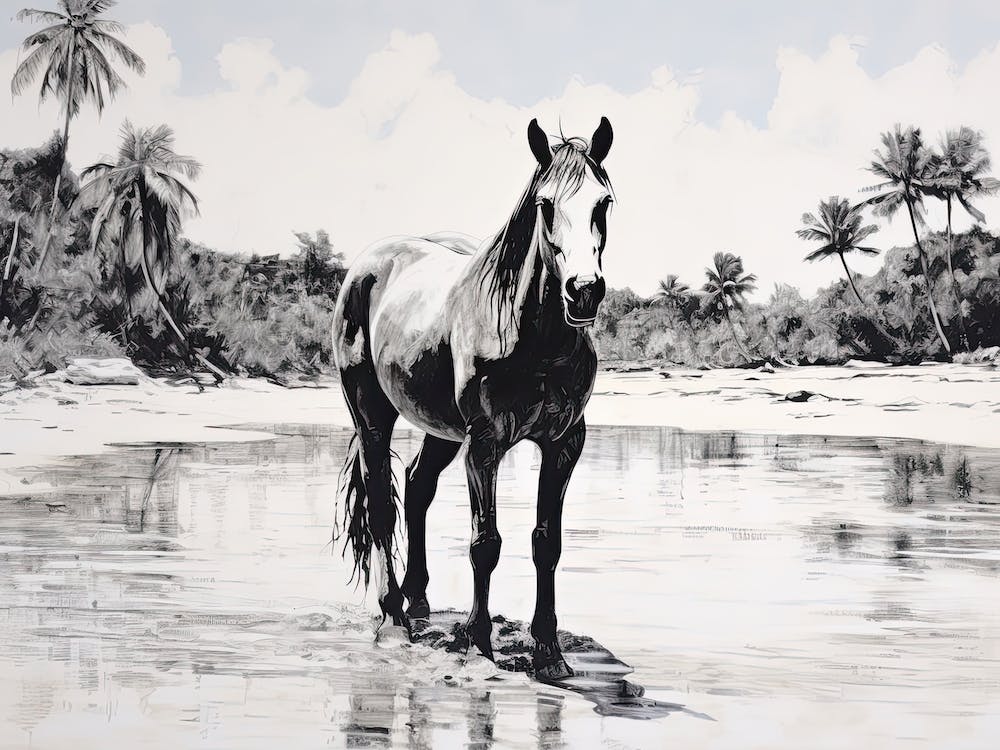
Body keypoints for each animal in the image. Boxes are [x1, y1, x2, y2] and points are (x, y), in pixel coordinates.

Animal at [331, 117, 614, 680]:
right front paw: (479, 643)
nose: (583, 291)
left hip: (441, 431)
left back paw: (418, 600)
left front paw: (549, 652)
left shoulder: (564, 443)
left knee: (416, 486)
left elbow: (546, 542)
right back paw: (393, 617)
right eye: (545, 204)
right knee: (381, 507)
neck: (534, 337)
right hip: (372, 417)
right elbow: (486, 544)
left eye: (605, 203)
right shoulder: (484, 444)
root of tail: (369, 265)